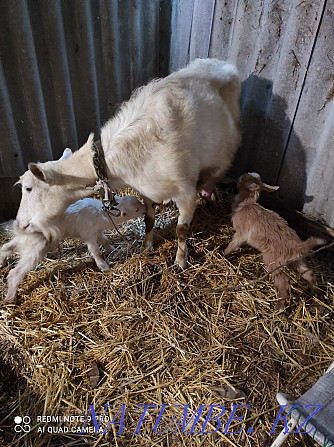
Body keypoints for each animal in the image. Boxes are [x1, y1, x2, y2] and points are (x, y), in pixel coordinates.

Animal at [13, 58, 243, 272]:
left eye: (29, 188)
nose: (19, 224)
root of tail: (220, 62)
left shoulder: (185, 192)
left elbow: (181, 230)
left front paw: (180, 260)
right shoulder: (147, 190)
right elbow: (149, 220)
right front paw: (147, 246)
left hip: (222, 153)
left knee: (215, 172)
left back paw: (209, 195)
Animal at [223, 172, 324, 312]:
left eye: (244, 178)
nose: (239, 177)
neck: (245, 204)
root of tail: (298, 246)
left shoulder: (241, 234)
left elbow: (233, 244)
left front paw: (224, 253)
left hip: (273, 262)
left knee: (284, 283)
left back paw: (279, 307)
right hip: (295, 262)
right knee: (309, 274)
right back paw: (315, 293)